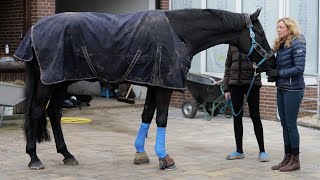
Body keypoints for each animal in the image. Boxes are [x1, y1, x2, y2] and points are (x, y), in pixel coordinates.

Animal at [14, 8, 276, 170]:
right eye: (260, 32)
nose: (272, 64)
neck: (180, 32)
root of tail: (35, 28)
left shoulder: (154, 82)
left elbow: (147, 115)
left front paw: (141, 154)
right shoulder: (164, 85)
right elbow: (161, 118)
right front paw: (165, 158)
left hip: (61, 81)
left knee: (54, 113)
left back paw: (67, 155)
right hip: (50, 83)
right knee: (36, 112)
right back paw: (34, 158)